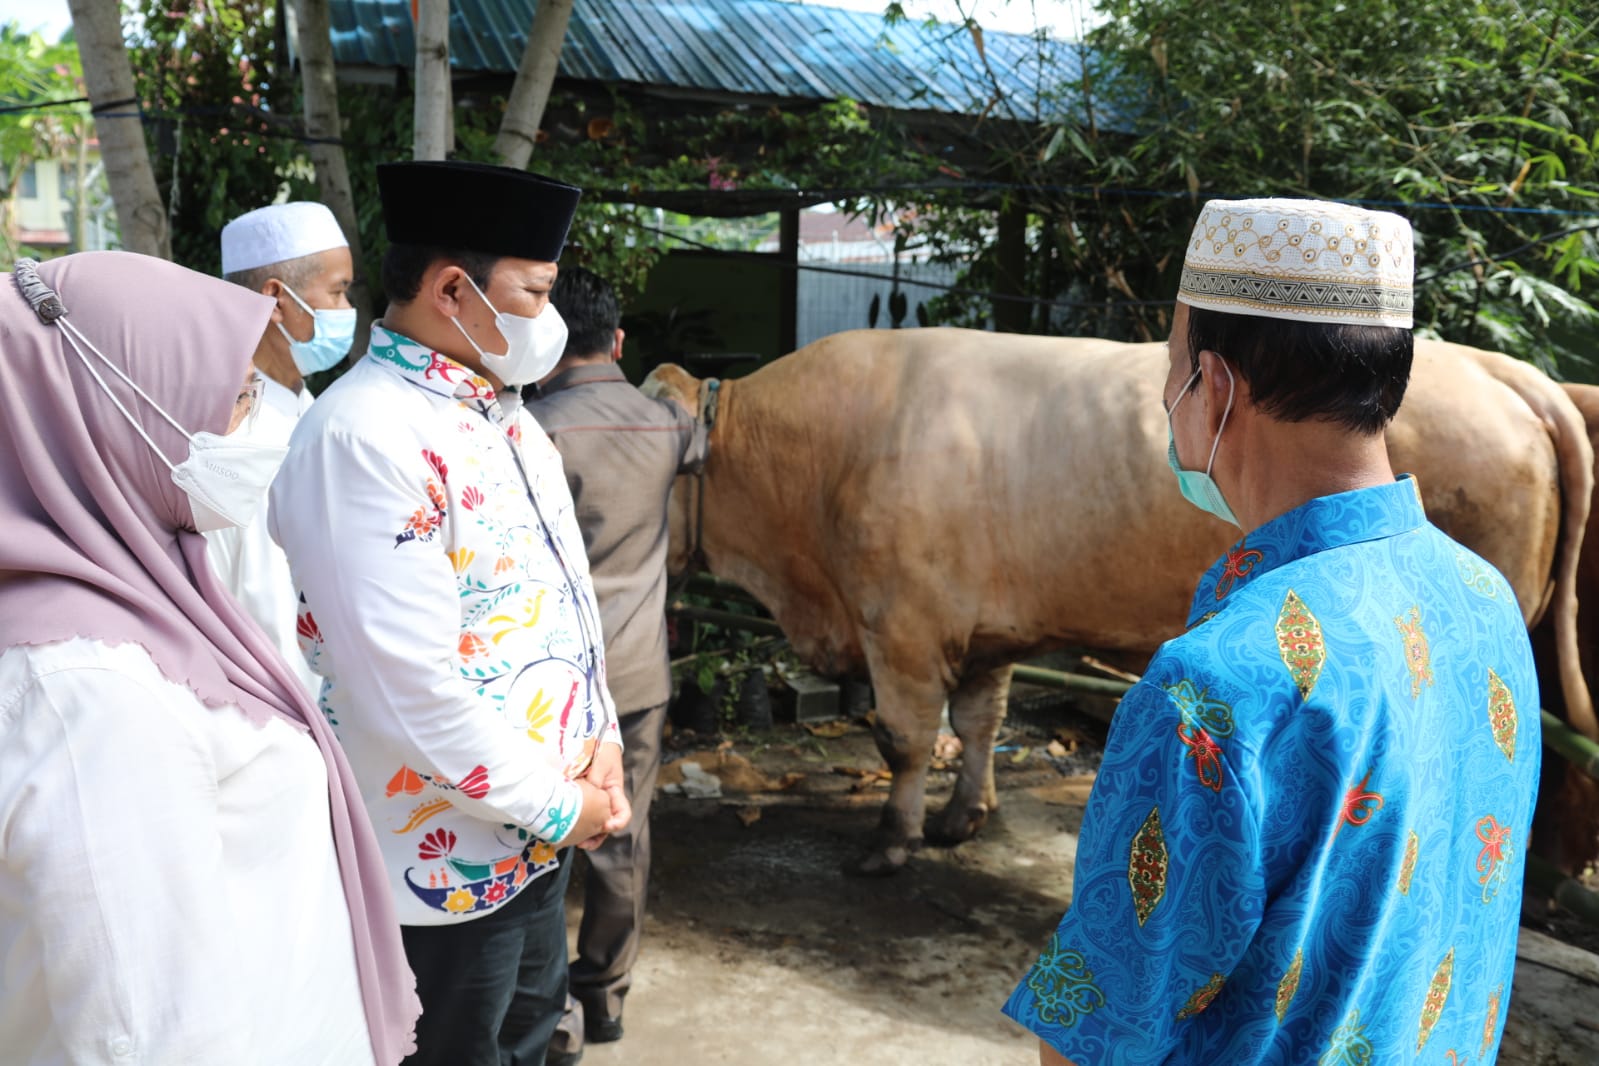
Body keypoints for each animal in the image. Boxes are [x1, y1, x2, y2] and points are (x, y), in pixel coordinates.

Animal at [642, 334, 1592, 875]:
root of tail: (1499, 370)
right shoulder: (983, 630)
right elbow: (979, 722)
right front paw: (960, 817)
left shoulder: (900, 622)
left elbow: (904, 738)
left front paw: (890, 840)